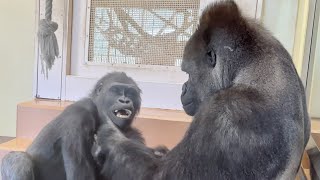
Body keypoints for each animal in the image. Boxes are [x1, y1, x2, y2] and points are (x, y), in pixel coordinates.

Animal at [1, 72, 168, 180]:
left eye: (130, 93)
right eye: (115, 91)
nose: (125, 100)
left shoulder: (134, 134)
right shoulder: (80, 113)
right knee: (17, 160)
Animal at [92, 1, 310, 180]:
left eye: (187, 72)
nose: (183, 88)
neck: (251, 65)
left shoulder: (228, 110)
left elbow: (161, 175)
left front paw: (110, 138)